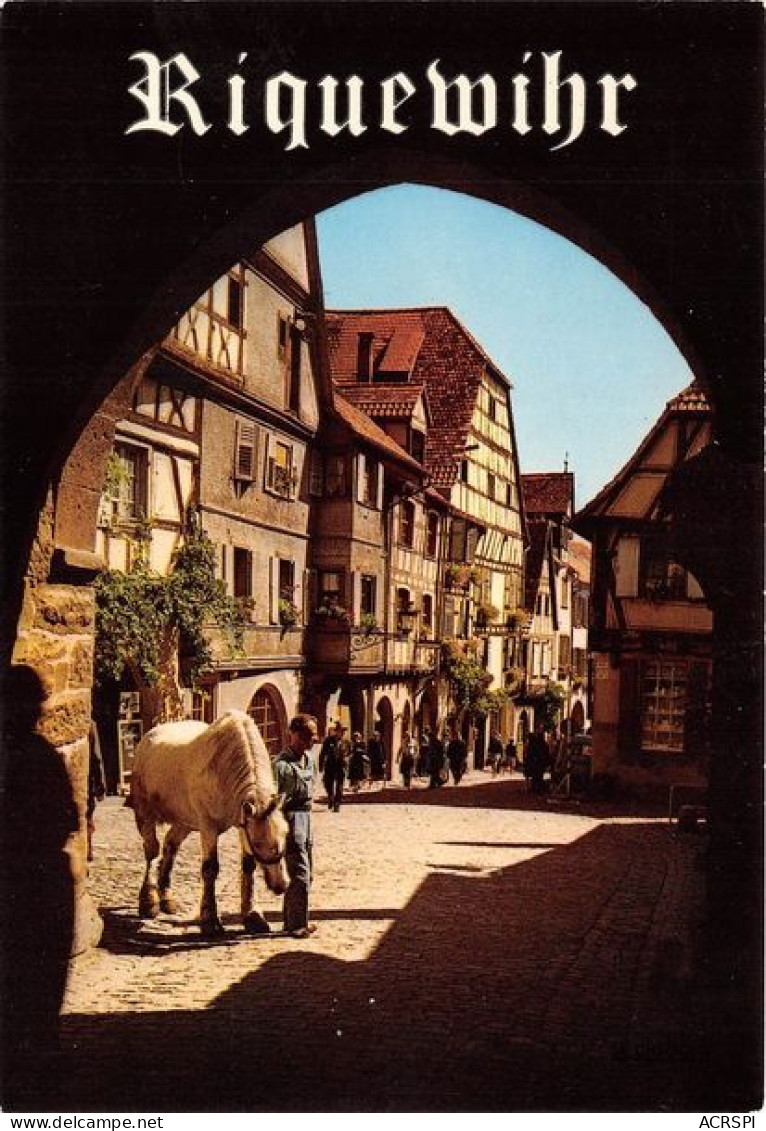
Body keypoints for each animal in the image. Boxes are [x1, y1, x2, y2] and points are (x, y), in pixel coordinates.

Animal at [126, 705, 288, 936]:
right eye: (258, 843)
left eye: (286, 833)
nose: (281, 885)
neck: (224, 767)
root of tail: (147, 737)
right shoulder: (208, 827)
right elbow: (210, 868)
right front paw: (210, 920)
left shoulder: (242, 823)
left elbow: (248, 865)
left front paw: (253, 915)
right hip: (145, 814)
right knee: (152, 851)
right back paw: (149, 902)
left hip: (184, 822)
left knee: (170, 846)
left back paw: (166, 898)